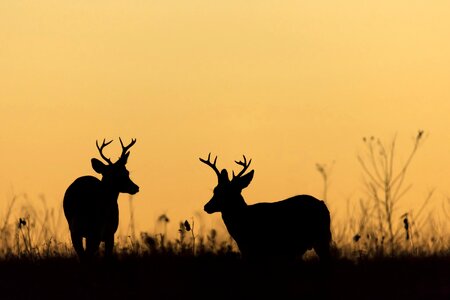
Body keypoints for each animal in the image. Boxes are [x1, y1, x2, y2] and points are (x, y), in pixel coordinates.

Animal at [200, 154, 330, 262]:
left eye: (228, 192)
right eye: (215, 190)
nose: (207, 206)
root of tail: (322, 204)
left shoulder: (255, 248)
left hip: (321, 238)